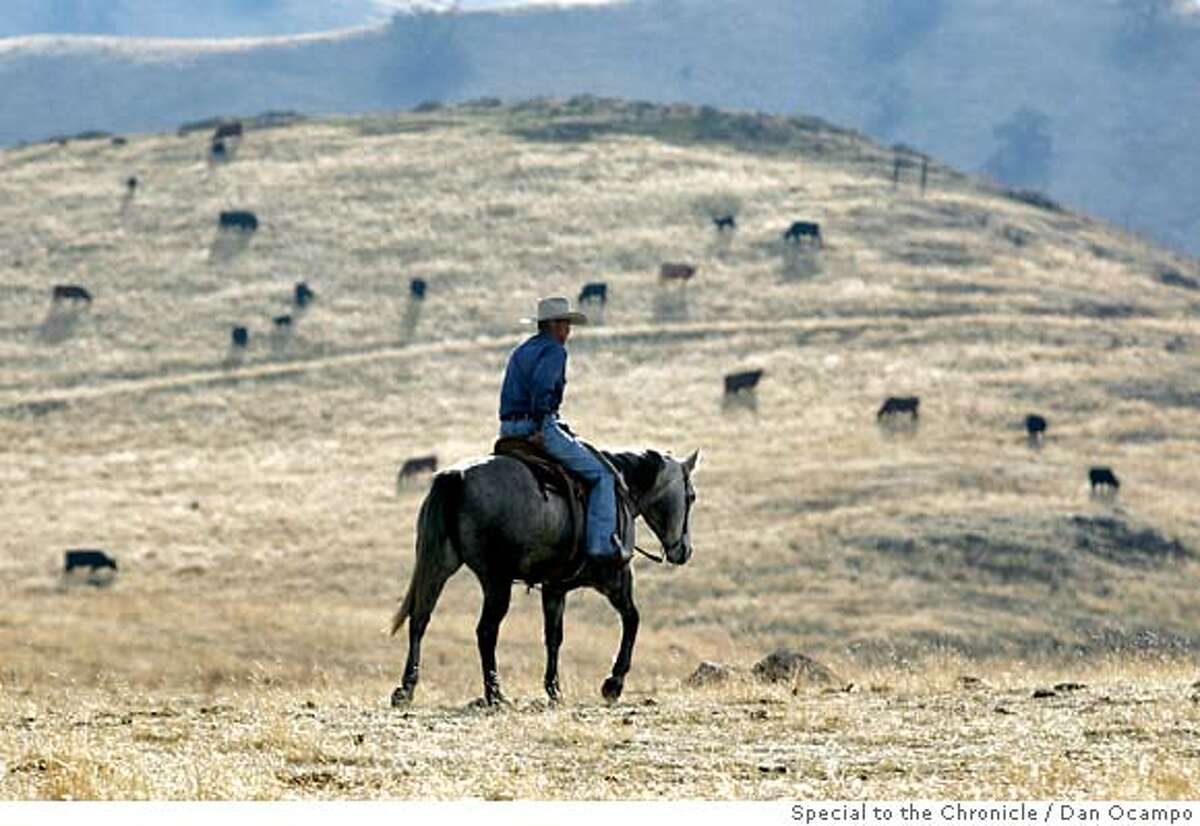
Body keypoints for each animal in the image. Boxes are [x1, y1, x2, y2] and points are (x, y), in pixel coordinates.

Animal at [388, 449, 700, 705]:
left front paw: (554, 690)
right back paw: (495, 694)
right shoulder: (616, 580)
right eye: (691, 496)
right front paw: (613, 683)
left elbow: (553, 637)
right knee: (485, 631)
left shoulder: (554, 590)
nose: (684, 550)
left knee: (420, 619)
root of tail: (457, 477)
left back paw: (406, 689)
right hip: (496, 582)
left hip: (439, 565)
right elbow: (632, 620)